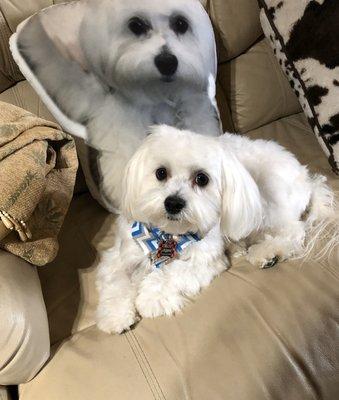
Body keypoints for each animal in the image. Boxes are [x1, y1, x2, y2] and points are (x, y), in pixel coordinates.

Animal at [97, 126, 338, 334]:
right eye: (161, 173)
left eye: (202, 178)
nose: (173, 203)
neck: (167, 234)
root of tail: (307, 178)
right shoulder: (120, 254)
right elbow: (115, 281)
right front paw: (115, 316)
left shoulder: (206, 259)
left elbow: (171, 272)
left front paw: (151, 297)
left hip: (268, 202)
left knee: (293, 231)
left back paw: (267, 252)